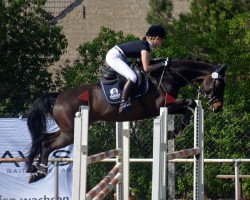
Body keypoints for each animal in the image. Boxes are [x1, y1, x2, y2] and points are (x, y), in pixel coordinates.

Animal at [26, 57, 228, 183]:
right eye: (219, 84)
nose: (218, 107)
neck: (168, 76)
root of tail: (58, 96)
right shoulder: (163, 107)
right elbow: (190, 102)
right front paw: (175, 131)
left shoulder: (168, 107)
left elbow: (190, 105)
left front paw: (174, 130)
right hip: (71, 132)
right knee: (48, 144)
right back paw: (40, 172)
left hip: (66, 130)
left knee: (43, 138)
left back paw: (32, 168)